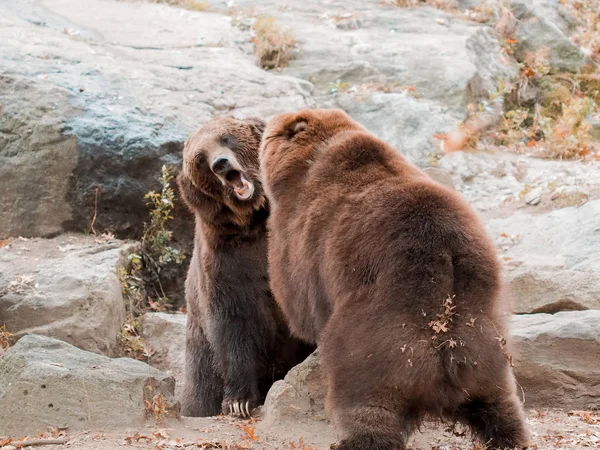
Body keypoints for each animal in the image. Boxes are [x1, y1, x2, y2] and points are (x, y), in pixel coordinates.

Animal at [176, 116, 314, 418]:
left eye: (225, 138)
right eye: (200, 159)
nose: (220, 163)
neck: (254, 219)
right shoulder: (227, 262)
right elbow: (233, 326)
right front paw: (239, 400)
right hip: (200, 366)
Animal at [260, 109, 528, 450]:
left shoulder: (301, 230)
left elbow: (294, 293)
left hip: (381, 336)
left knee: (365, 394)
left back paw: (356, 439)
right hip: (485, 341)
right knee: (499, 399)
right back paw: (510, 435)